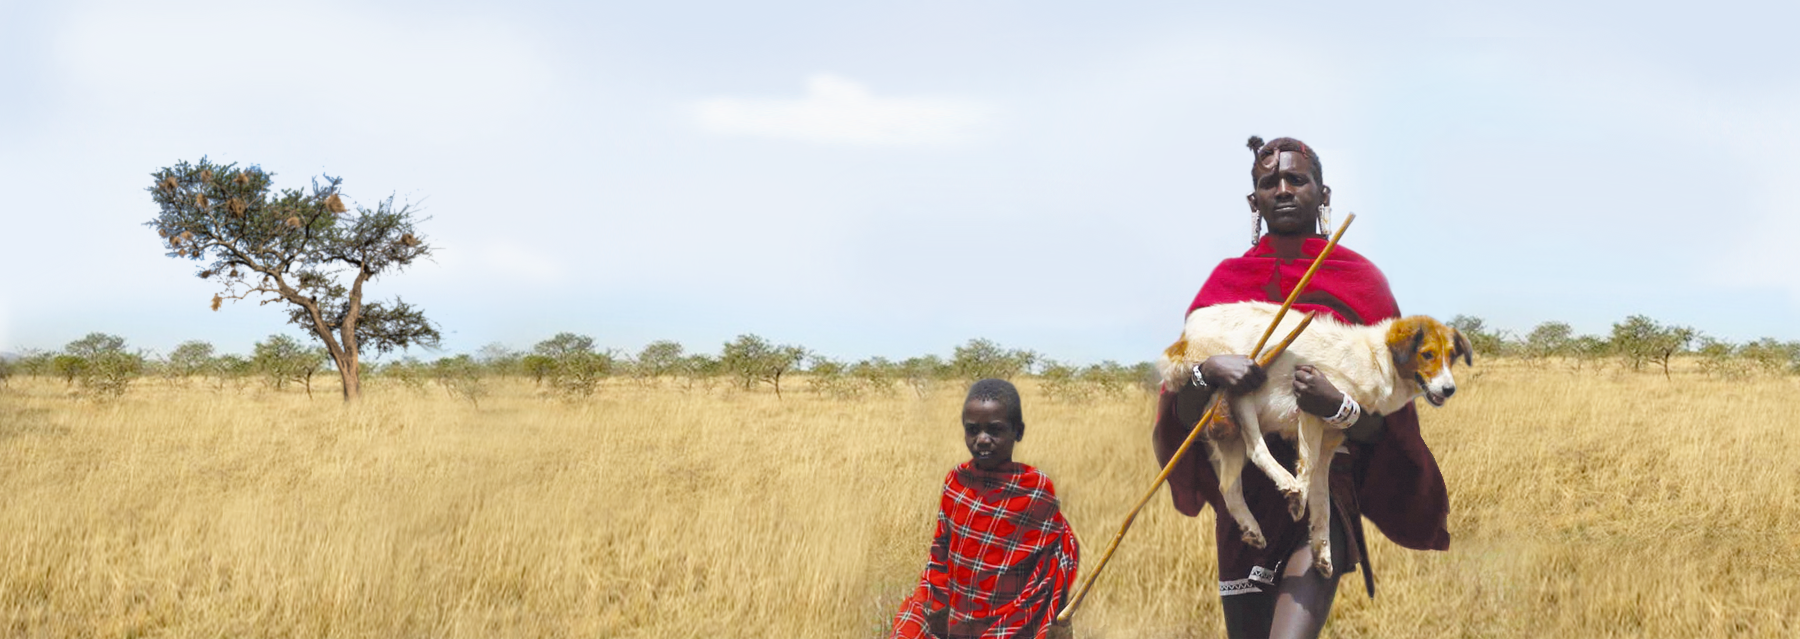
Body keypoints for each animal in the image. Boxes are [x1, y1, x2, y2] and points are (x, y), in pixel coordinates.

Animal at [1159, 302, 1468, 579]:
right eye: (1427, 354)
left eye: (1452, 356)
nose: (1449, 389)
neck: (1375, 361)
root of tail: (1188, 333)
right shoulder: (1308, 411)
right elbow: (1306, 469)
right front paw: (1296, 501)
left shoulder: (1330, 441)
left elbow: (1323, 506)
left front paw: (1322, 553)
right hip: (1241, 389)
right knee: (1257, 450)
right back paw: (1284, 482)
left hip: (1229, 434)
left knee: (1228, 487)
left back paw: (1251, 527)